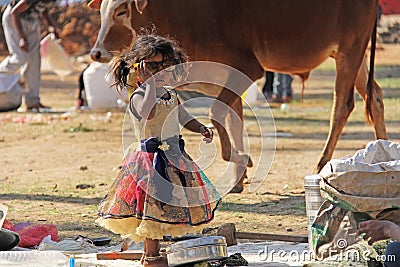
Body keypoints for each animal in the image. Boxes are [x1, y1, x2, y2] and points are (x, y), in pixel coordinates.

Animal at [88, 0, 388, 193]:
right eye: (102, 11)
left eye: (121, 10)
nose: (96, 52)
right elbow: (233, 120)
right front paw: (239, 175)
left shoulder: (246, 68)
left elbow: (217, 113)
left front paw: (240, 159)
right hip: (355, 57)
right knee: (374, 97)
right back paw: (384, 151)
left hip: (350, 51)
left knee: (343, 105)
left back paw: (323, 161)